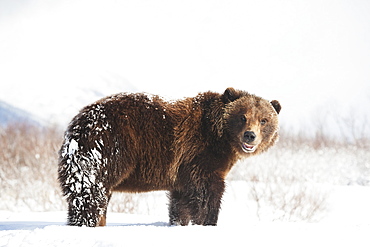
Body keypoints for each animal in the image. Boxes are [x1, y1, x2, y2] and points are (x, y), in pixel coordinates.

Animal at [59, 88, 282, 227]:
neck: (222, 139)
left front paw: (180, 222)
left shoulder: (183, 171)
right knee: (90, 193)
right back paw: (86, 222)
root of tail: (79, 121)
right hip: (109, 147)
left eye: (264, 120)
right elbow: (207, 192)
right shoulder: (200, 154)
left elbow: (181, 201)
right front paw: (208, 221)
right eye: (242, 117)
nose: (250, 135)